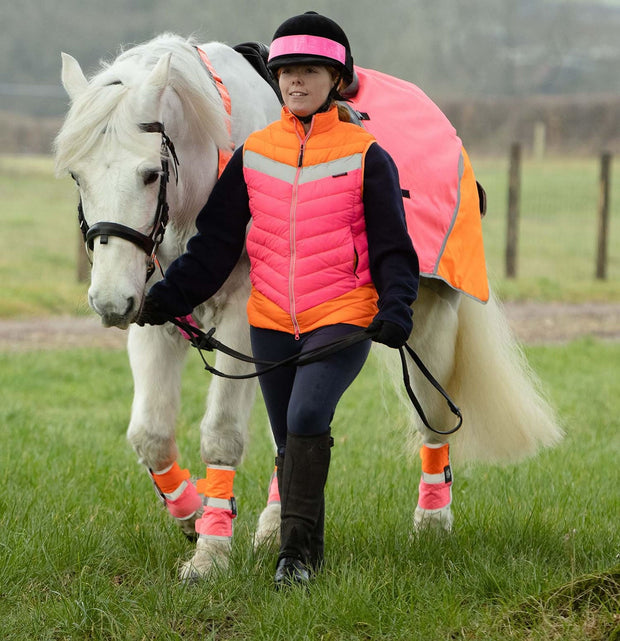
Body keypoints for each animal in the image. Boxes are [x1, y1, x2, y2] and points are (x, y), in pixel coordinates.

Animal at [55, 35, 564, 584]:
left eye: (151, 174)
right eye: (76, 175)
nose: (109, 300)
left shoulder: (242, 320)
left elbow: (222, 434)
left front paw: (211, 552)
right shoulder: (157, 316)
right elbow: (150, 434)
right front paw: (191, 515)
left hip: (430, 320)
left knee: (430, 413)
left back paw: (431, 521)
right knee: (288, 431)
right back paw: (273, 526)